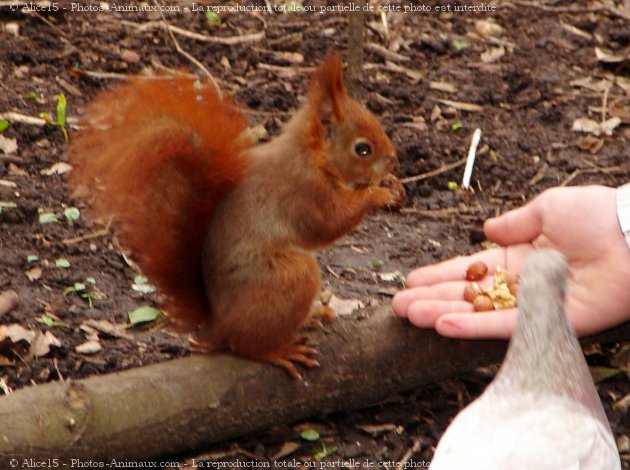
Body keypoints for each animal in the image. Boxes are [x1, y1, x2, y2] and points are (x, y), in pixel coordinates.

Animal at [69, 54, 404, 378]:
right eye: (362, 149)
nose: (394, 160)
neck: (312, 156)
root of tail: (217, 325)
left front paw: (391, 185)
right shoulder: (305, 193)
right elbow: (329, 224)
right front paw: (379, 195)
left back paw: (312, 315)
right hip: (290, 278)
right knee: (244, 345)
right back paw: (279, 351)